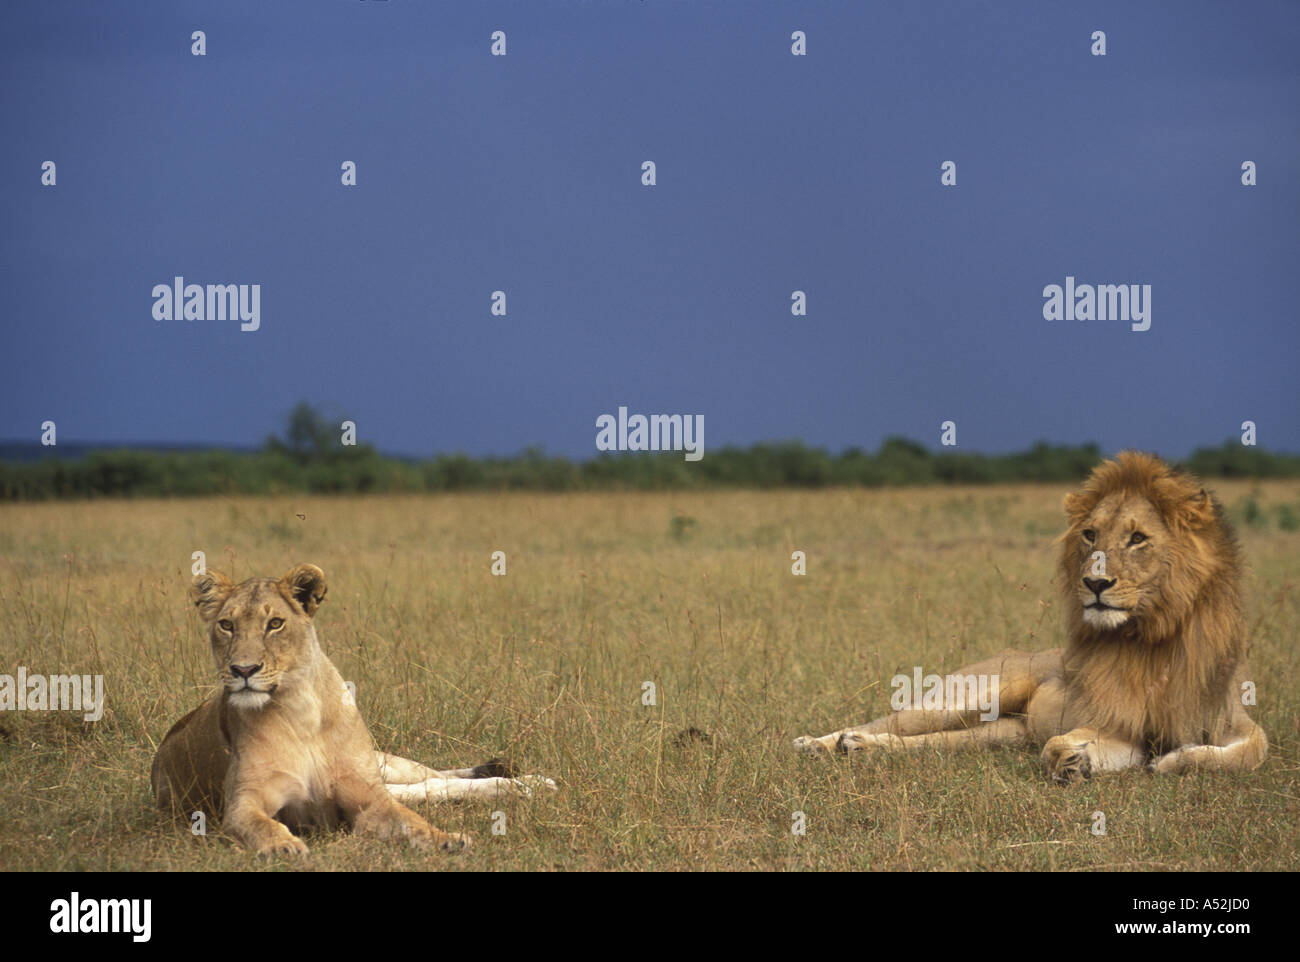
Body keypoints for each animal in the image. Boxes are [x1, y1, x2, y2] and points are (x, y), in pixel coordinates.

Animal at [151, 563, 554, 856]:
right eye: (227, 625)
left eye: (275, 623)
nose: (243, 670)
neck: (300, 710)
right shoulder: (244, 803)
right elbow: (259, 824)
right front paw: (282, 846)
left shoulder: (367, 797)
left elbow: (411, 820)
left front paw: (448, 839)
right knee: (426, 785)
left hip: (380, 763)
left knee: (429, 778)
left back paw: (527, 780)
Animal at [793, 451, 1267, 781]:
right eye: (1089, 534)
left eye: (1137, 538)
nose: (1094, 583)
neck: (1150, 636)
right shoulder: (1114, 723)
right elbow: (1057, 743)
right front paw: (1071, 759)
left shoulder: (1220, 719)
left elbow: (1253, 749)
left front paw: (1168, 761)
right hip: (969, 692)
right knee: (891, 721)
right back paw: (821, 743)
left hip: (996, 732)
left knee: (935, 742)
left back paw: (858, 748)